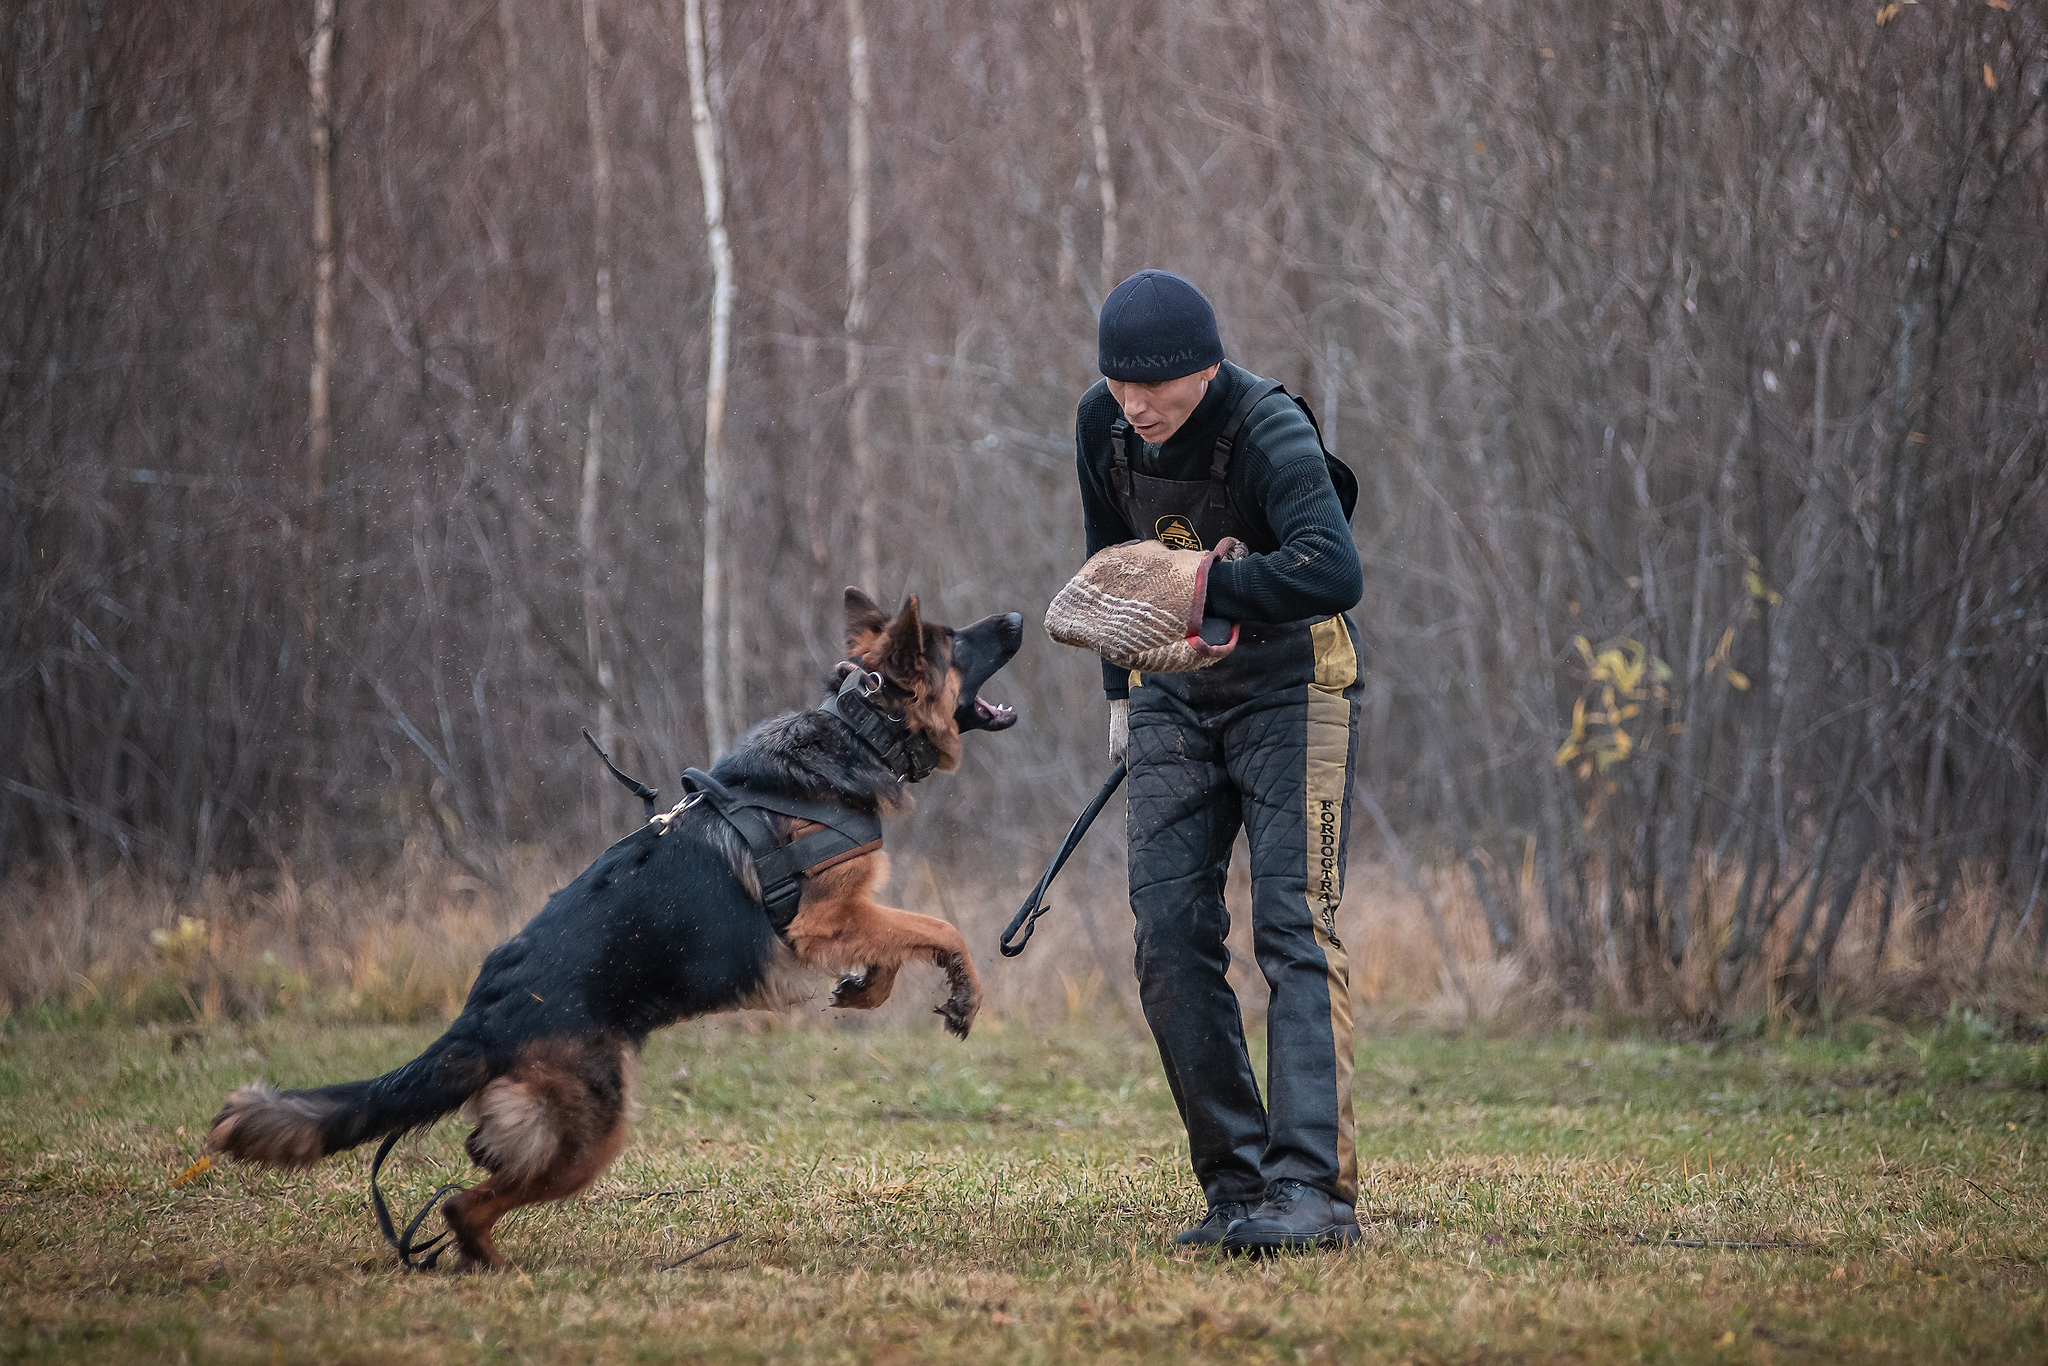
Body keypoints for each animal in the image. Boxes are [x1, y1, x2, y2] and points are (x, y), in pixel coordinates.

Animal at [207, 589, 1024, 1269]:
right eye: (958, 640)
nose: (1018, 617)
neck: (859, 727)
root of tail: (483, 1015)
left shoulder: (839, 922)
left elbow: (896, 945)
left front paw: (864, 992)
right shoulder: (828, 916)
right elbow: (941, 926)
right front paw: (964, 994)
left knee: (467, 1199)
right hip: (590, 1134)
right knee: (465, 1204)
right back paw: (496, 1269)